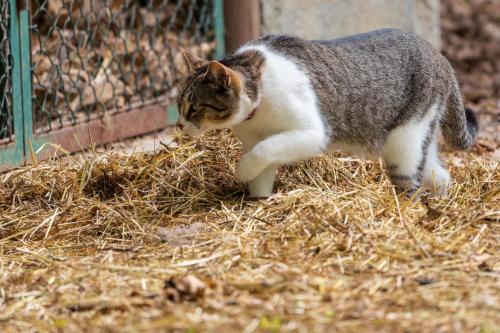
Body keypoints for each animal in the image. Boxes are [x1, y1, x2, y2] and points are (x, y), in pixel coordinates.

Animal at [176, 28, 476, 197]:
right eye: (179, 106)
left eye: (194, 107)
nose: (179, 125)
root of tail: (441, 57)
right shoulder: (255, 140)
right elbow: (262, 168)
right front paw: (258, 200)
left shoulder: (312, 134)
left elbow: (263, 151)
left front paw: (241, 171)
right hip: (420, 135)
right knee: (440, 174)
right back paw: (443, 204)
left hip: (404, 144)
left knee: (411, 184)